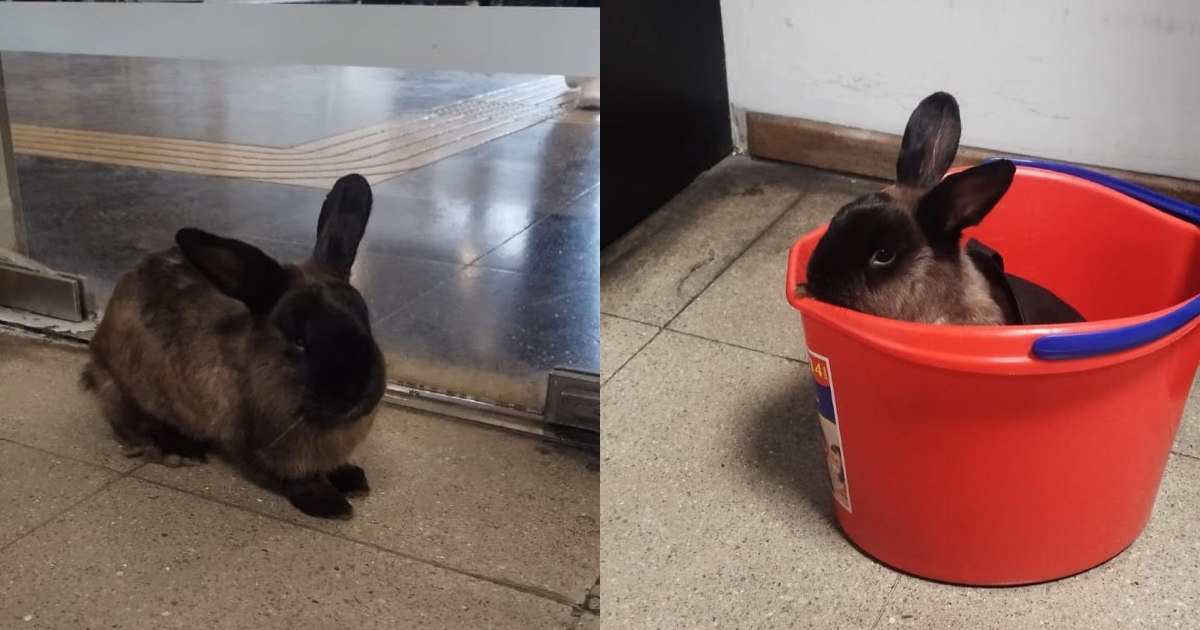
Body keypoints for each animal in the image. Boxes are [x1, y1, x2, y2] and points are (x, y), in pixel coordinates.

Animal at [81, 173, 387, 520]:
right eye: (299, 341)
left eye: (366, 323)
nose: (357, 394)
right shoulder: (250, 449)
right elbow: (292, 480)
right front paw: (331, 503)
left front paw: (352, 478)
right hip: (126, 390)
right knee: (131, 423)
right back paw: (182, 449)